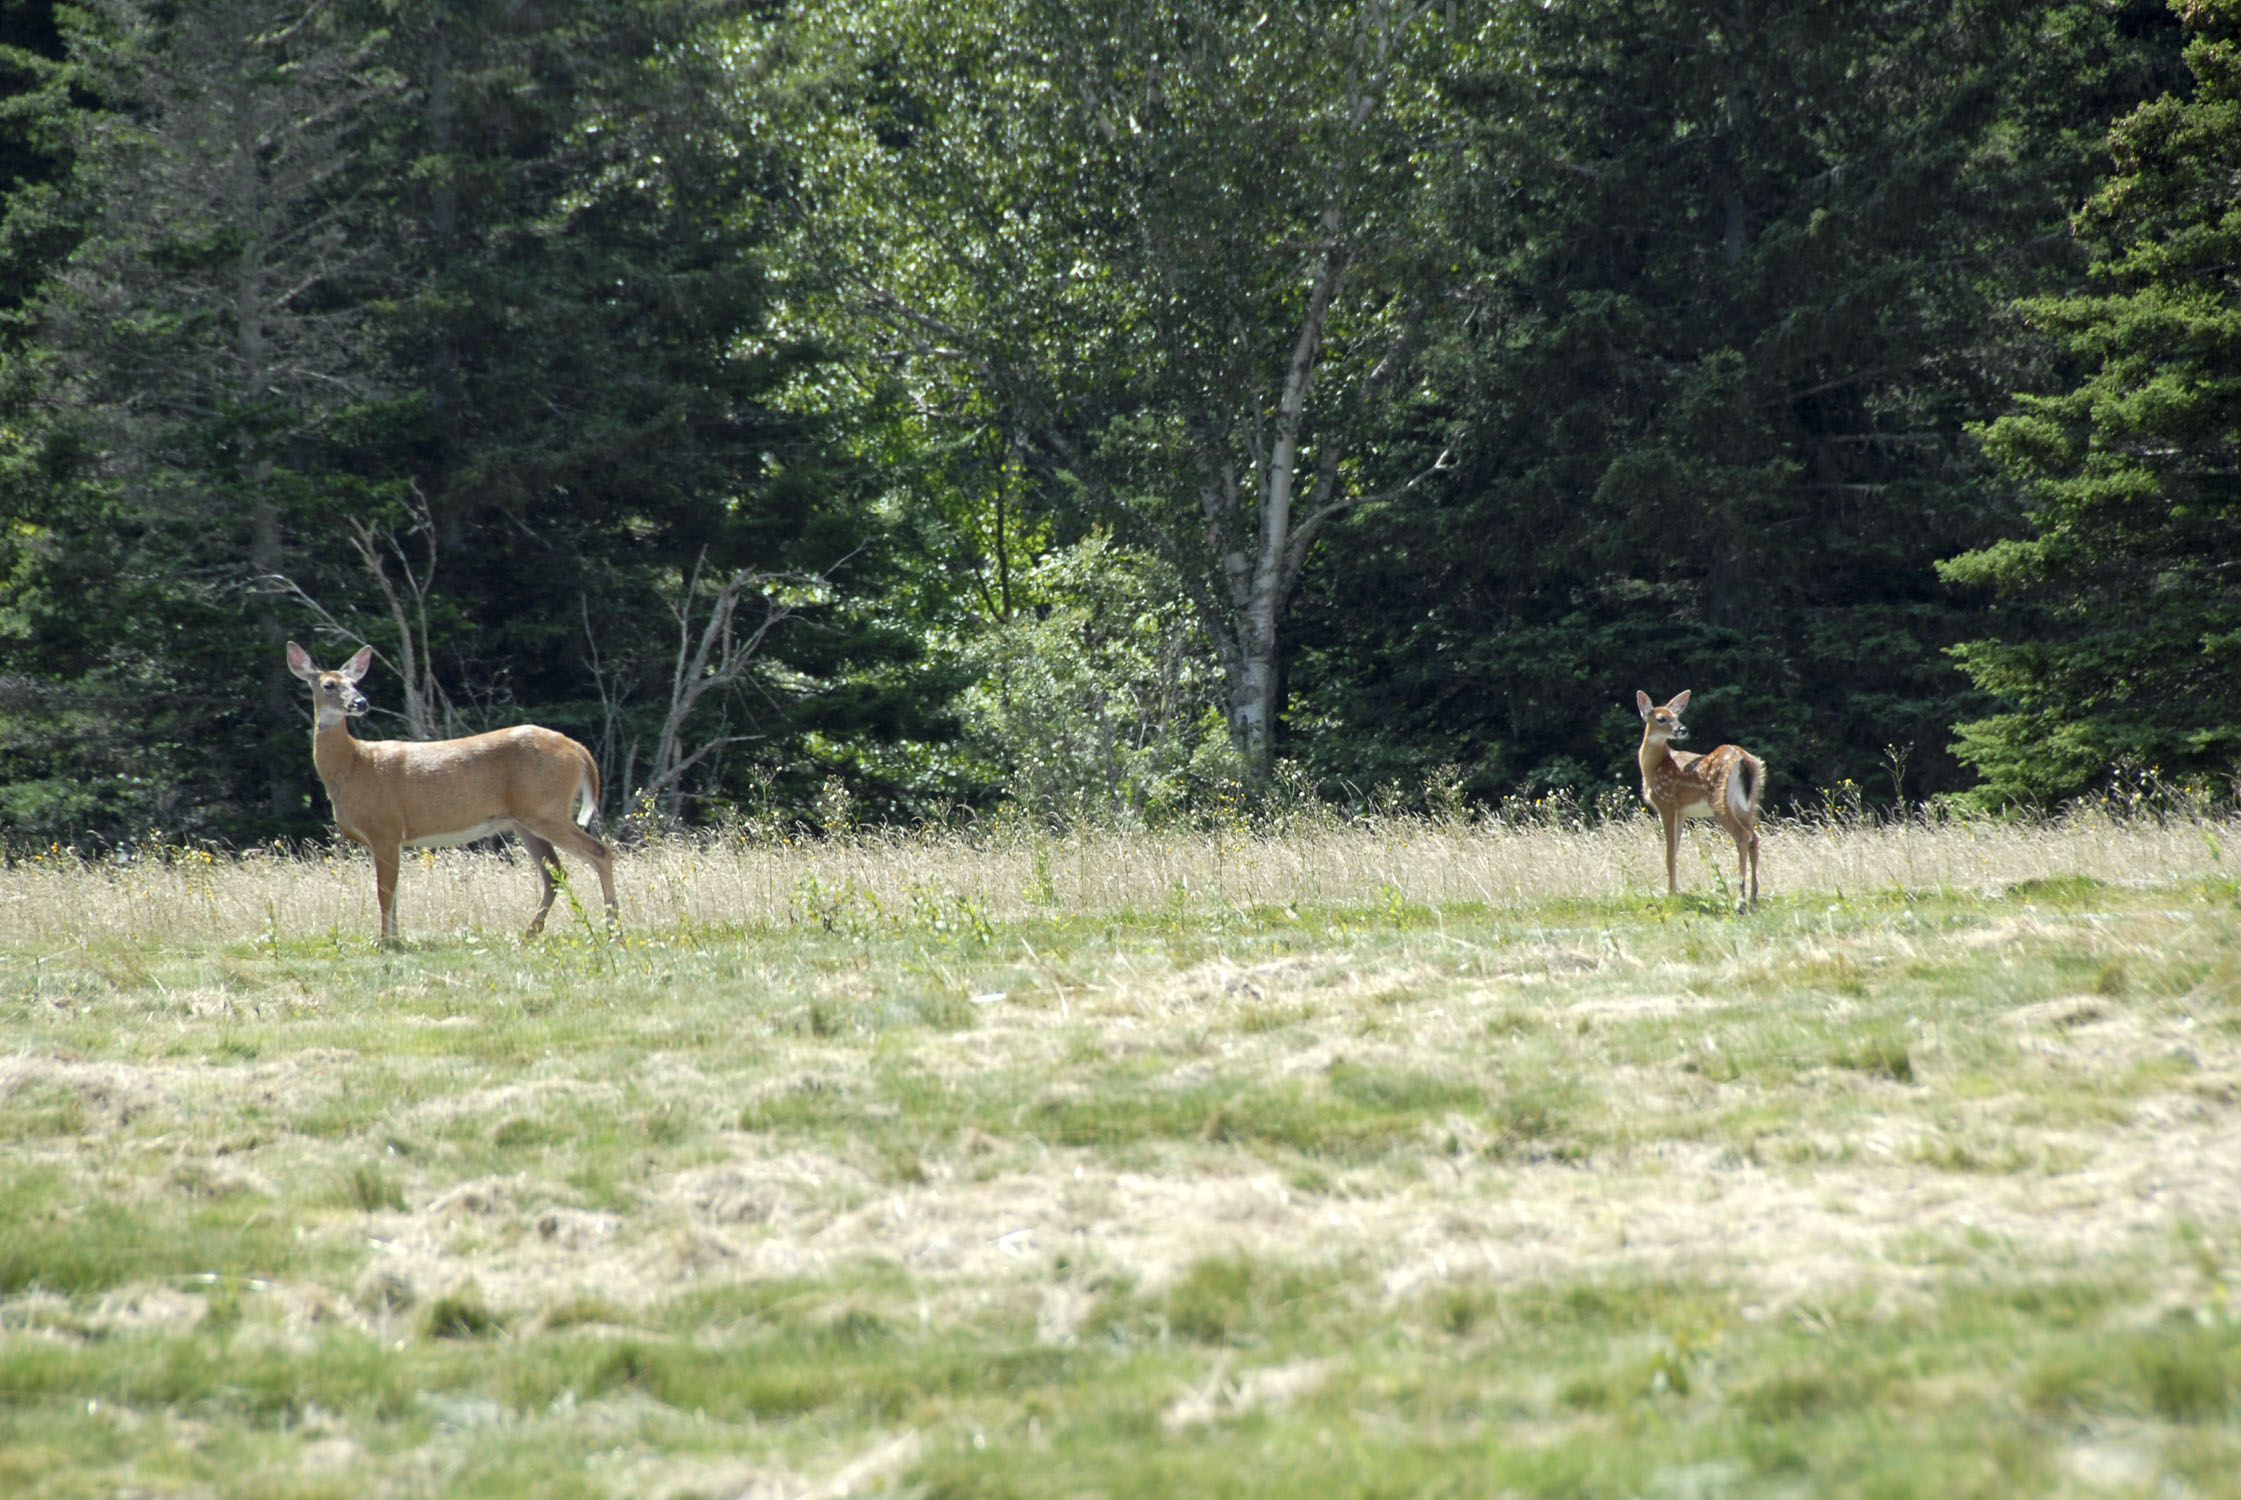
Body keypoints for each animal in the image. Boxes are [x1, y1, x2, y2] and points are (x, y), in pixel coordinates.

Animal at [291, 641, 622, 941]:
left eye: (355, 683)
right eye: (329, 684)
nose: (360, 703)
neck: (354, 766)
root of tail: (576, 748)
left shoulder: (385, 828)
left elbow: (384, 891)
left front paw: (386, 942)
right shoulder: (388, 836)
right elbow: (393, 892)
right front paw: (395, 938)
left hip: (545, 808)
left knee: (599, 852)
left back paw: (613, 932)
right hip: (524, 819)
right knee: (555, 873)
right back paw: (530, 933)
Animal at [1640, 686, 1756, 905]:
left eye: (1677, 716)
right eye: (1661, 718)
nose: (1682, 730)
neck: (1654, 767)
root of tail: (1742, 759)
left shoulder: (1666, 802)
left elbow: (1669, 852)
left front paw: (1671, 893)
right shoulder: (1682, 811)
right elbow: (1676, 849)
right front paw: (1674, 890)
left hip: (1719, 799)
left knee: (1743, 835)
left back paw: (1741, 899)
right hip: (1748, 803)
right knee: (1755, 837)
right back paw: (1754, 897)